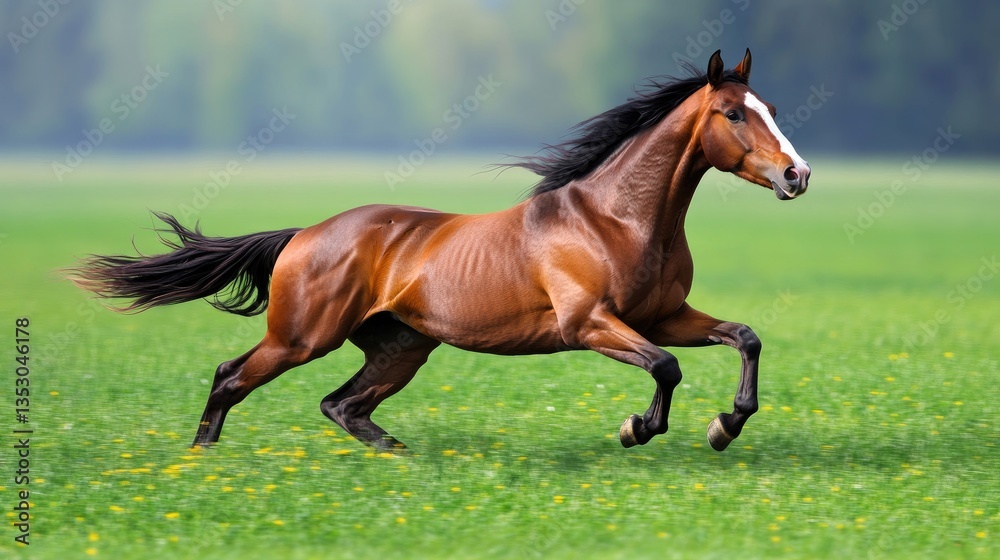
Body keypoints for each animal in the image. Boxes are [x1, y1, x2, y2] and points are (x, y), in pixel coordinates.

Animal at [70, 49, 810, 453]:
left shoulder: (663, 315)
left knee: (342, 406)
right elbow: (664, 368)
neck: (616, 220)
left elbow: (744, 338)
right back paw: (200, 461)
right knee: (231, 377)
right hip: (300, 337)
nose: (796, 175)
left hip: (400, 347)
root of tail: (304, 235)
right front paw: (638, 428)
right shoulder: (590, 324)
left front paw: (725, 425)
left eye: (771, 108)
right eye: (733, 114)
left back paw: (400, 454)